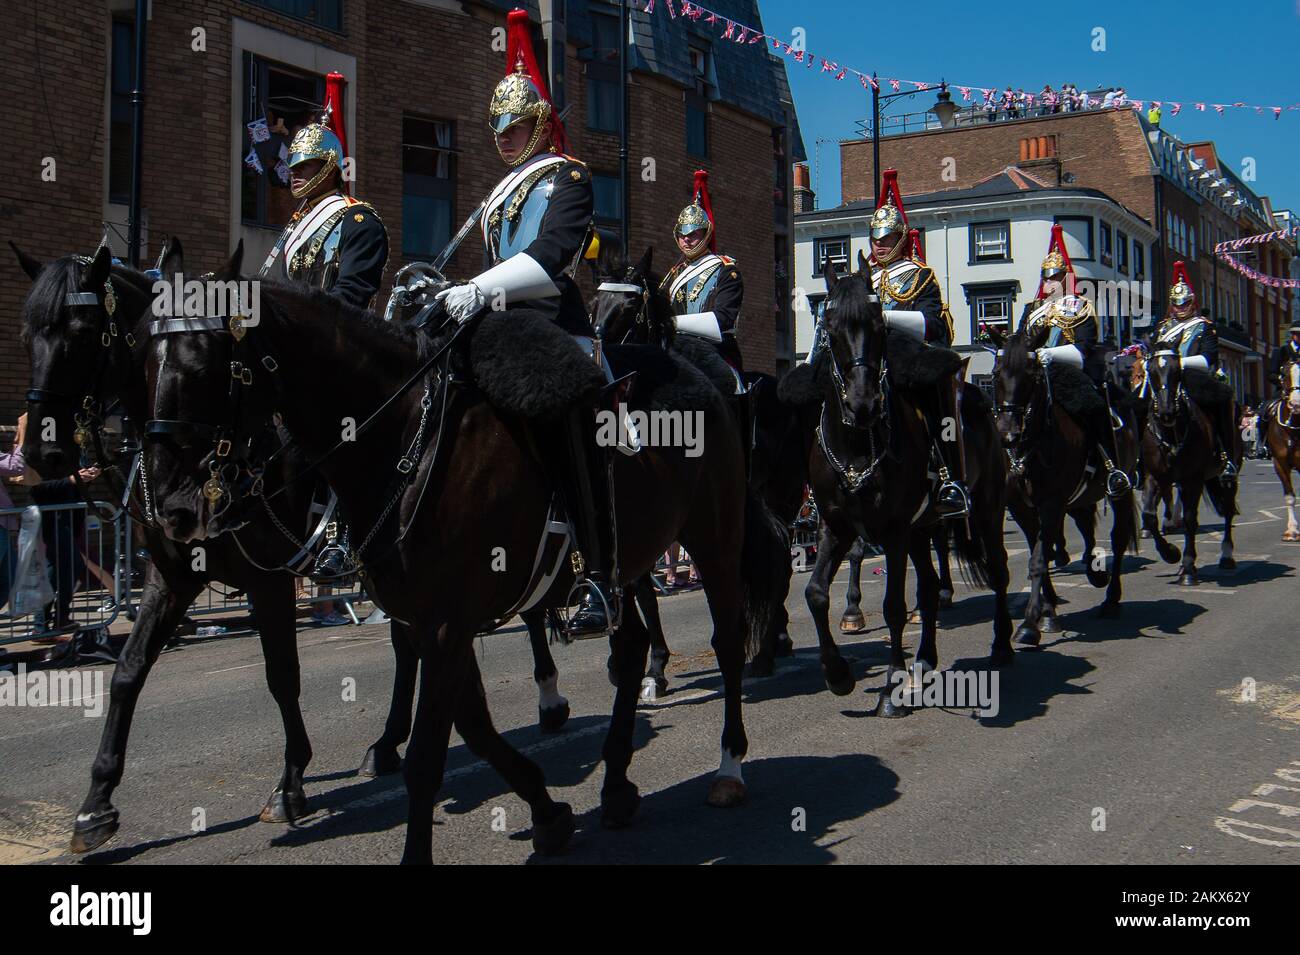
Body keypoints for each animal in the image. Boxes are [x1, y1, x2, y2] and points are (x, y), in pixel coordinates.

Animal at [800, 265, 1013, 712]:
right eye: (830, 326)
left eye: (880, 325)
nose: (862, 404)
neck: (857, 445)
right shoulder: (835, 527)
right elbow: (815, 593)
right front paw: (838, 674)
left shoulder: (894, 530)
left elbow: (894, 607)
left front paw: (891, 692)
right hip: (923, 527)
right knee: (929, 589)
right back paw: (926, 661)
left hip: (986, 510)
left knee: (998, 571)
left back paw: (1003, 646)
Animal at [982, 324, 1138, 647]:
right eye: (996, 373)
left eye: (1032, 374)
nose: (1007, 435)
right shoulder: (1021, 507)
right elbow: (1038, 550)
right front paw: (1048, 610)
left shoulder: (1051, 504)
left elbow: (1040, 559)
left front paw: (1030, 623)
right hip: (1080, 496)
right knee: (1086, 526)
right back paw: (1093, 570)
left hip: (1121, 487)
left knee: (1118, 536)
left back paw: (1111, 599)